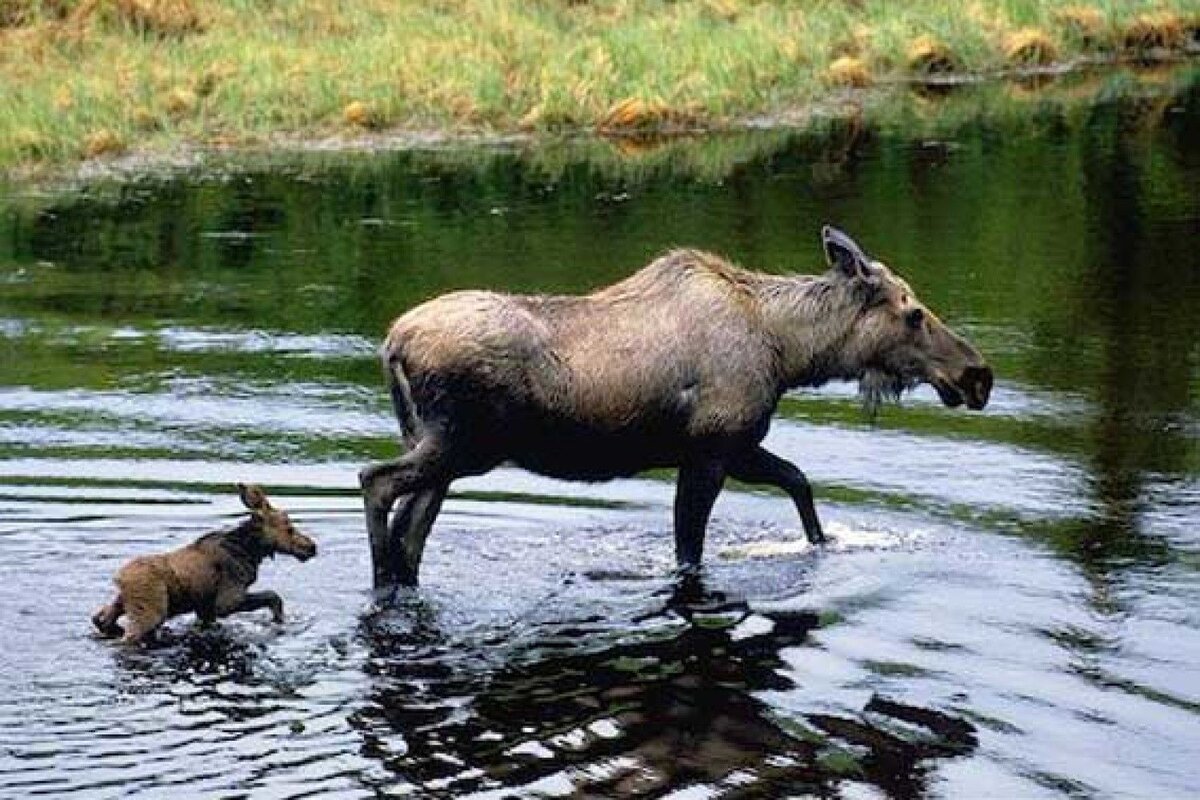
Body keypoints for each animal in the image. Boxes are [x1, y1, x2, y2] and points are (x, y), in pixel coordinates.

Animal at [91, 482, 316, 642]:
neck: (250, 551)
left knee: (100, 618)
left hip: (122, 602)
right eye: (289, 528)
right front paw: (278, 620)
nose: (311, 547)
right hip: (149, 612)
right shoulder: (226, 601)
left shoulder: (205, 608)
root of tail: (119, 577)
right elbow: (273, 596)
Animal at [357, 225, 993, 587]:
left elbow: (798, 480)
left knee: (412, 528)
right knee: (375, 483)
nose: (978, 375)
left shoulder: (739, 446)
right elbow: (690, 548)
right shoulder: (712, 450)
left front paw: (823, 544)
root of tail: (391, 345)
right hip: (461, 444)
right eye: (914, 313)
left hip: (442, 449)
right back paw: (381, 577)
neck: (790, 353)